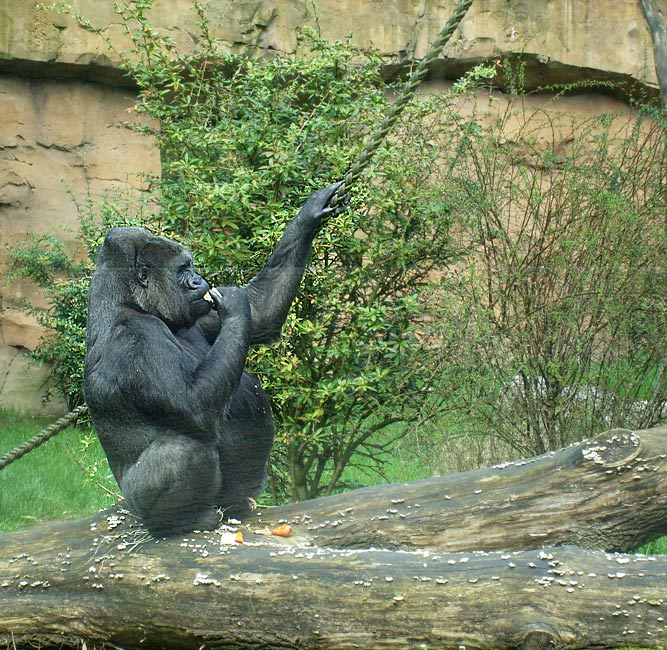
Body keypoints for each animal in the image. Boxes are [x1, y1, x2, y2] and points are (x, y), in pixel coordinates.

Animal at [83, 181, 344, 532]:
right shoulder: (136, 339)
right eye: (183, 269)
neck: (130, 301)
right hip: (140, 505)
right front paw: (234, 305)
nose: (199, 281)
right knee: (185, 450)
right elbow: (195, 407)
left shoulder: (197, 313)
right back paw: (181, 520)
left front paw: (310, 214)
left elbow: (259, 310)